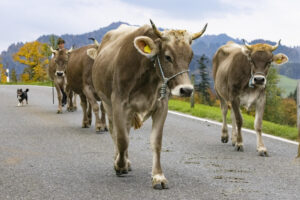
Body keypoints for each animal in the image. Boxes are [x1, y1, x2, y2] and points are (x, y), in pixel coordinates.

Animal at [88, 20, 207, 189]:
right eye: (168, 57)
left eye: (190, 57)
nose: (186, 90)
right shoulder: (119, 102)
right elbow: (122, 139)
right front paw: (120, 165)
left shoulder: (161, 106)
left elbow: (156, 142)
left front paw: (158, 176)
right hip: (107, 104)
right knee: (114, 132)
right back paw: (120, 160)